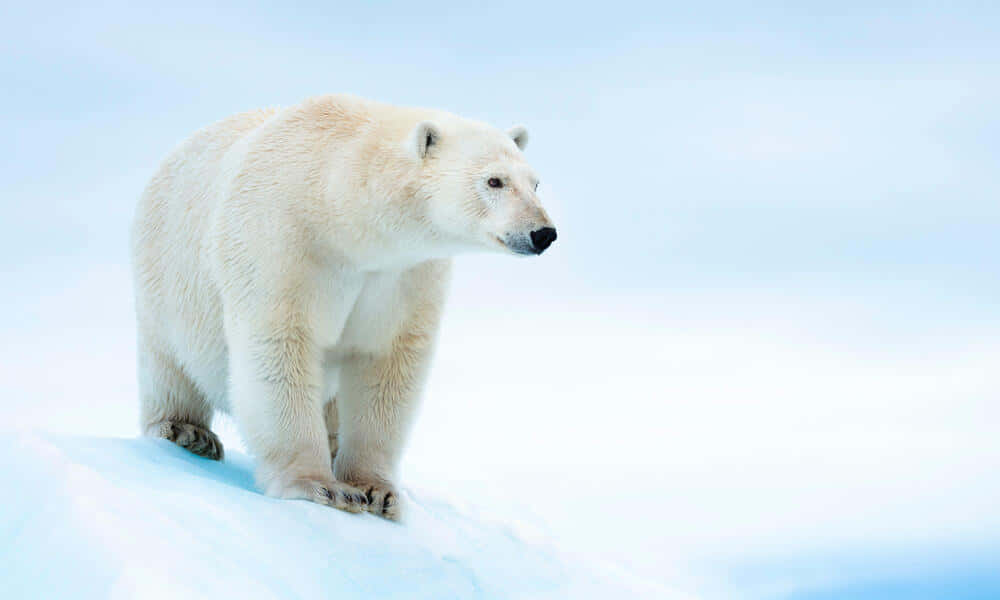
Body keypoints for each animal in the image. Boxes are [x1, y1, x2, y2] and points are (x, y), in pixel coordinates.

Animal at [130, 94, 556, 520]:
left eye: (535, 182)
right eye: (494, 181)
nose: (543, 233)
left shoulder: (404, 274)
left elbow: (388, 364)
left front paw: (377, 492)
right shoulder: (281, 241)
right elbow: (280, 346)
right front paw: (320, 486)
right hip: (166, 276)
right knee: (168, 364)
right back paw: (187, 431)